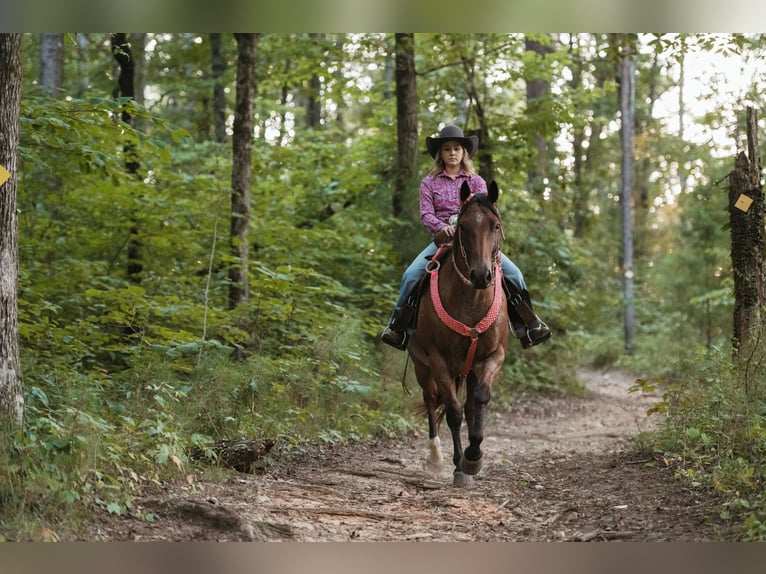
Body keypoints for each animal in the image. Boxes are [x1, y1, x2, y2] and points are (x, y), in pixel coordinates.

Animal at [408, 180, 510, 486]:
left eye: (495, 225)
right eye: (462, 226)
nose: (481, 275)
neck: (470, 301)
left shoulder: (493, 357)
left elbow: (479, 400)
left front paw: (473, 457)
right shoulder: (439, 361)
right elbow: (452, 412)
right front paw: (459, 466)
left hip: (466, 369)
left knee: (467, 405)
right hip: (422, 366)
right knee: (431, 401)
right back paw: (435, 456)